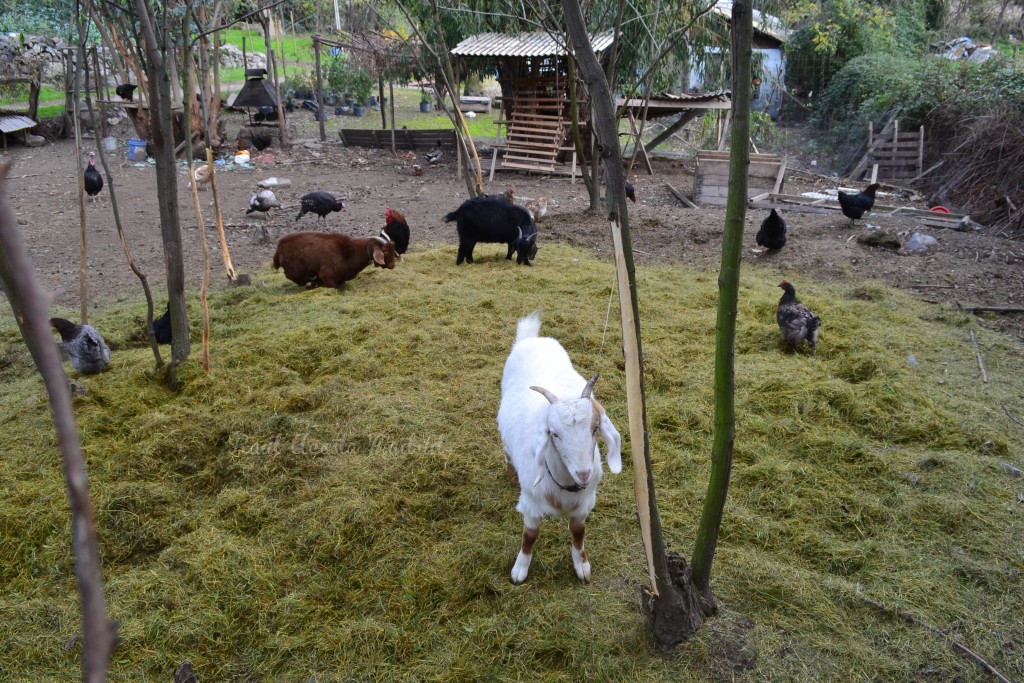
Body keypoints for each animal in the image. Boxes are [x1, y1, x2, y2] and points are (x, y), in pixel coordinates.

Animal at [497, 313, 622, 585]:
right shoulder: (531, 506)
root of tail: (532, 339)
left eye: (595, 428)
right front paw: (520, 570)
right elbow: (529, 537)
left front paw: (581, 566)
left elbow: (578, 533)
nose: (584, 474)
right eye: (554, 433)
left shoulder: (583, 506)